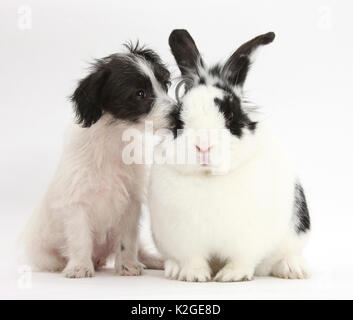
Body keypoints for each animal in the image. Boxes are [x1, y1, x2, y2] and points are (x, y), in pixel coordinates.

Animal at [23, 42, 172, 278]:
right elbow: (80, 238)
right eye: (140, 94)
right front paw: (79, 266)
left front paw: (127, 265)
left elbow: (127, 240)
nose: (178, 113)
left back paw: (152, 261)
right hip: (43, 254)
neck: (114, 137)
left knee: (138, 248)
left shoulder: (130, 203)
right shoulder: (76, 203)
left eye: (164, 85)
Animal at [147, 28, 310, 282]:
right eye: (178, 120)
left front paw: (231, 276)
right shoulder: (184, 239)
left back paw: (293, 270)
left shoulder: (247, 239)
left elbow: (241, 259)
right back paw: (173, 269)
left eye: (231, 117)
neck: (209, 177)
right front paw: (193, 276)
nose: (203, 146)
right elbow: (192, 259)